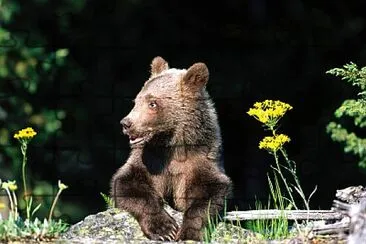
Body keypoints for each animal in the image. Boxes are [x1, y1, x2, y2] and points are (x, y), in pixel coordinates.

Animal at [111, 56, 232, 241]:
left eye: (152, 103)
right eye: (136, 101)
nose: (126, 123)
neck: (172, 145)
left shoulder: (200, 159)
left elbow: (209, 191)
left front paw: (188, 232)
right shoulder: (150, 160)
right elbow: (129, 183)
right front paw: (164, 229)